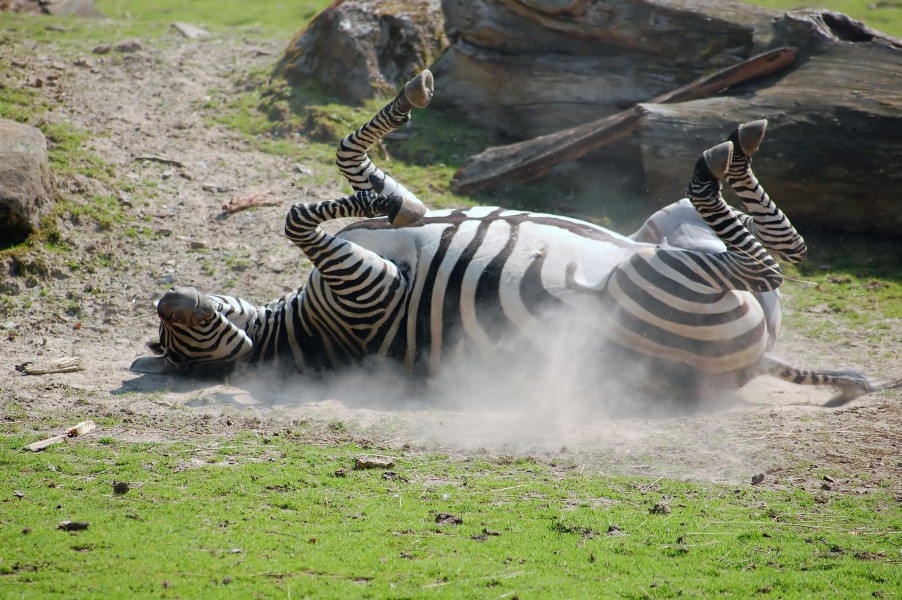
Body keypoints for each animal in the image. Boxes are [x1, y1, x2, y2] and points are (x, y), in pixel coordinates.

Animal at [146, 69, 897, 405]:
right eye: (182, 344)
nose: (166, 297)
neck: (299, 331)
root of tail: (753, 364)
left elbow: (348, 167)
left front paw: (397, 174)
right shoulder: (367, 287)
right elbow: (298, 215)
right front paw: (397, 201)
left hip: (662, 234)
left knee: (773, 257)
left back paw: (734, 152)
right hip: (658, 280)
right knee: (775, 262)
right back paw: (722, 159)